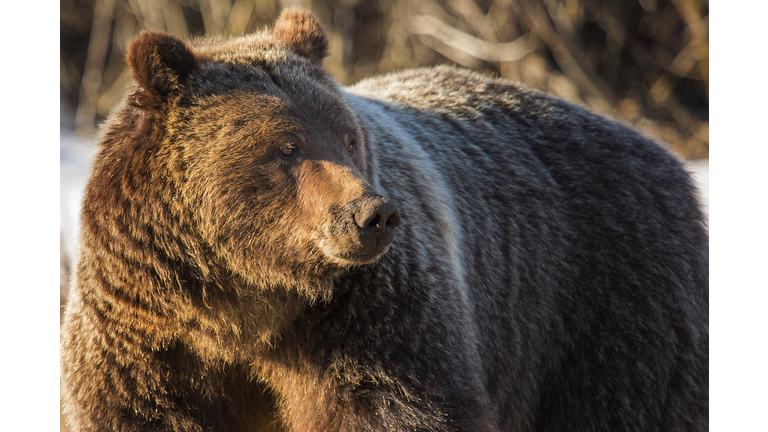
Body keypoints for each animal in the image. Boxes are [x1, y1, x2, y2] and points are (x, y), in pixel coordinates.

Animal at [60, 7, 708, 432]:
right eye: (287, 147)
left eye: (348, 138)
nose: (371, 214)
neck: (245, 303)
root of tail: (663, 154)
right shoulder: (147, 337)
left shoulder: (366, 317)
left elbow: (393, 404)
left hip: (604, 308)